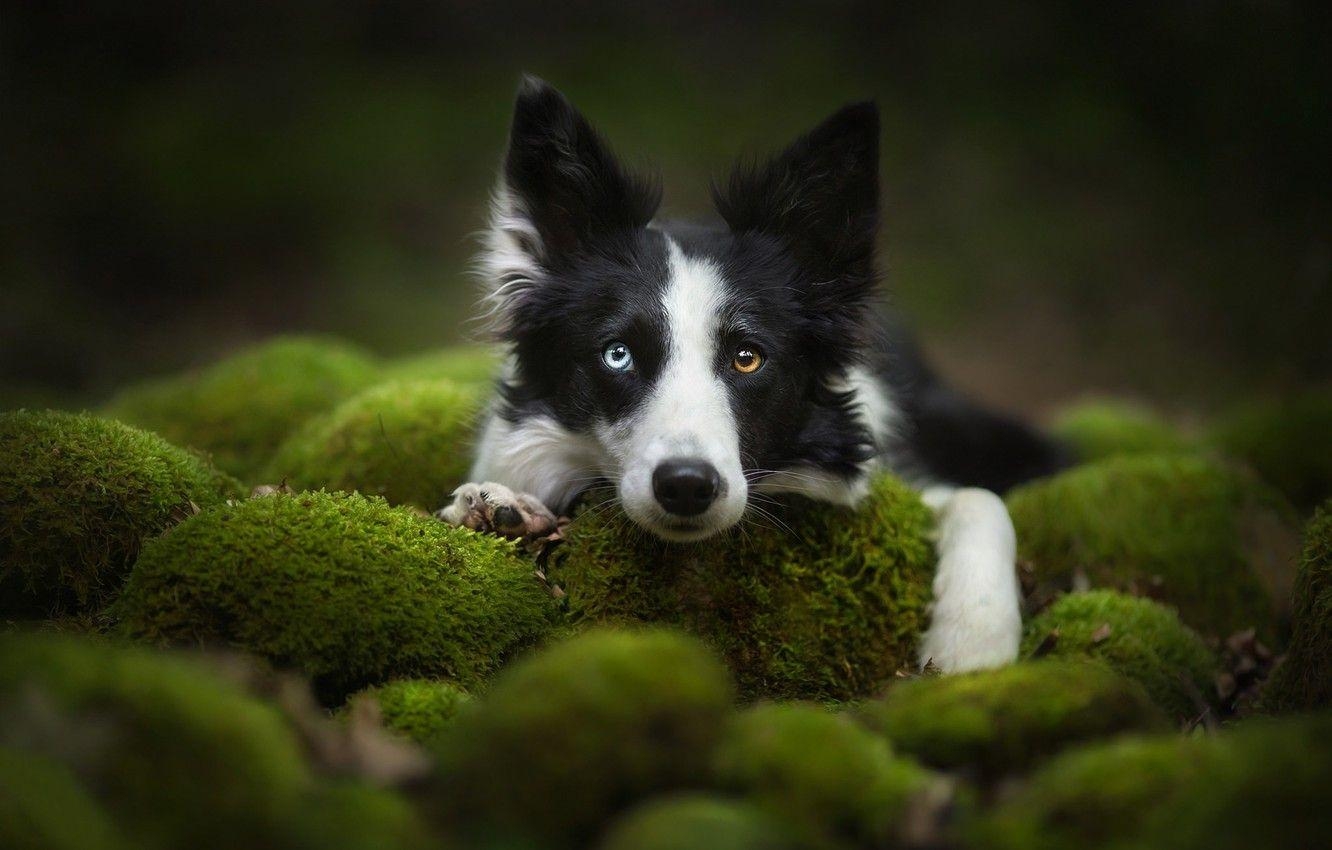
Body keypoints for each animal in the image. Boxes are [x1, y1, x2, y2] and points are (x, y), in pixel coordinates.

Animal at [442, 76, 1065, 668]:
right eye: (617, 354)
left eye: (748, 356)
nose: (686, 486)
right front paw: (500, 508)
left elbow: (981, 500)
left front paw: (974, 642)